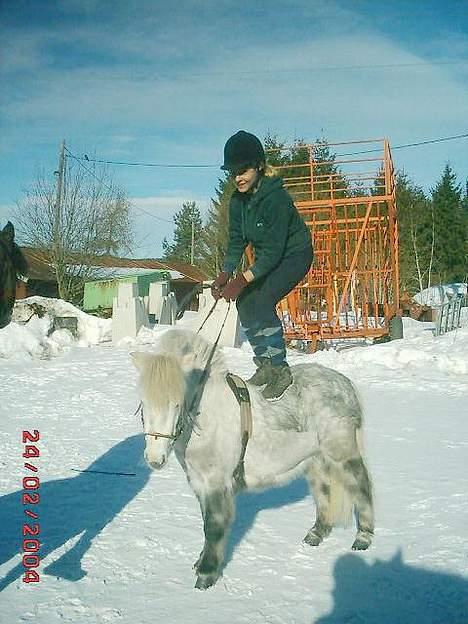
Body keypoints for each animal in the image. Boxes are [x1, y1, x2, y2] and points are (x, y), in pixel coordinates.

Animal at [131, 330, 372, 592]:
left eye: (177, 403)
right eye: (143, 403)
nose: (155, 459)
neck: (209, 415)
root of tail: (344, 383)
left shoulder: (216, 483)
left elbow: (213, 526)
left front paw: (206, 575)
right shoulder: (198, 482)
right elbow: (206, 522)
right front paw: (201, 563)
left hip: (342, 452)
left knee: (361, 486)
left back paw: (363, 537)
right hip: (315, 460)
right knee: (323, 492)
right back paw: (316, 534)